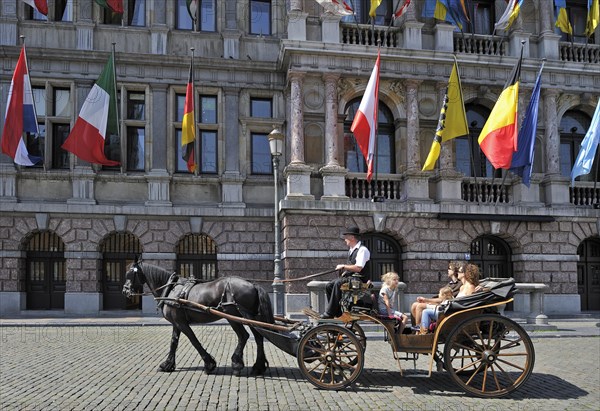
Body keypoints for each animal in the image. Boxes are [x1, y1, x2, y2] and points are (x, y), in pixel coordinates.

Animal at [123, 260, 274, 376]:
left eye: (129, 274)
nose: (125, 290)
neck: (171, 290)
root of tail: (252, 284)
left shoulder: (182, 323)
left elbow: (194, 340)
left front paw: (209, 364)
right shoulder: (177, 323)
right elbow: (174, 342)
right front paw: (167, 364)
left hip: (234, 316)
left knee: (243, 336)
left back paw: (237, 364)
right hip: (250, 317)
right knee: (259, 337)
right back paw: (258, 366)